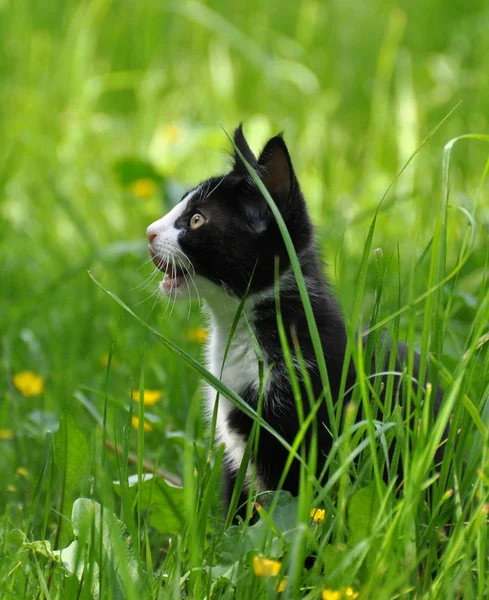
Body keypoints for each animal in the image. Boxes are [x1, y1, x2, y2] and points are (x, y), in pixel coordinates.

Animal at [148, 126, 438, 510]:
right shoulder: (233, 454)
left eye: (196, 220)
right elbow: (237, 511)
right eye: (179, 204)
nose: (149, 231)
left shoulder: (307, 425)